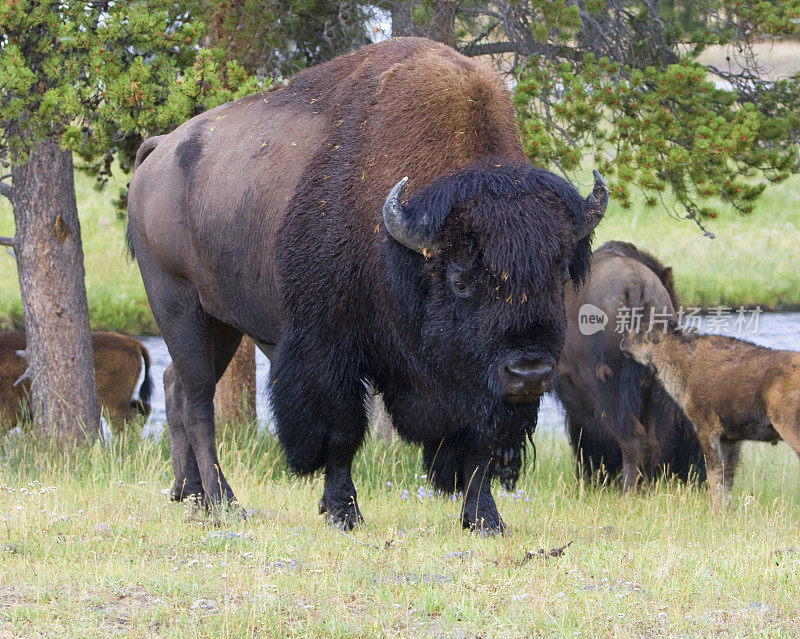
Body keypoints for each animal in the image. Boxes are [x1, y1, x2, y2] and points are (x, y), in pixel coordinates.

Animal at [128, 37, 608, 532]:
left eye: (560, 274)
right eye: (459, 280)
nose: (529, 372)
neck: (397, 244)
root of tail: (159, 151)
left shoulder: (475, 386)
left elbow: (479, 444)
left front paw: (484, 519)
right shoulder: (329, 352)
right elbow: (341, 433)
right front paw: (343, 512)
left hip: (220, 322)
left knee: (175, 385)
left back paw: (190, 495)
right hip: (178, 304)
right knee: (198, 401)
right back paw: (224, 502)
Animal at [552, 244, 704, 490]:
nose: (695, 469)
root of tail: (635, 283)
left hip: (607, 389)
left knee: (632, 438)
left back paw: (627, 491)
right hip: (650, 389)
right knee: (650, 441)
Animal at [620, 328, 800, 512]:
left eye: (640, 333)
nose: (623, 341)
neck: (687, 364)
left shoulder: (706, 429)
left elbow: (713, 473)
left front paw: (714, 511)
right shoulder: (730, 439)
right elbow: (727, 477)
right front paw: (725, 511)